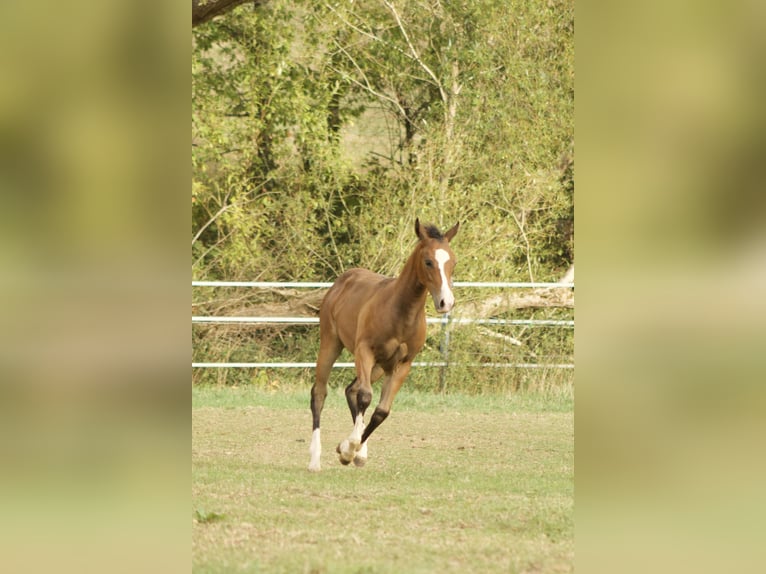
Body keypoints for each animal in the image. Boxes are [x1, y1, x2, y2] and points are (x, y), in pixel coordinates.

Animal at [308, 218, 459, 471]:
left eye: (453, 262)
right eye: (428, 262)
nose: (445, 302)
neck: (401, 312)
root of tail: (343, 280)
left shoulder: (403, 364)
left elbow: (381, 411)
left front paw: (349, 449)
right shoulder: (364, 352)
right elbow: (366, 397)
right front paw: (348, 450)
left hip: (381, 366)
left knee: (351, 390)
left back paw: (358, 451)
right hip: (331, 344)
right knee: (320, 393)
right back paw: (315, 459)